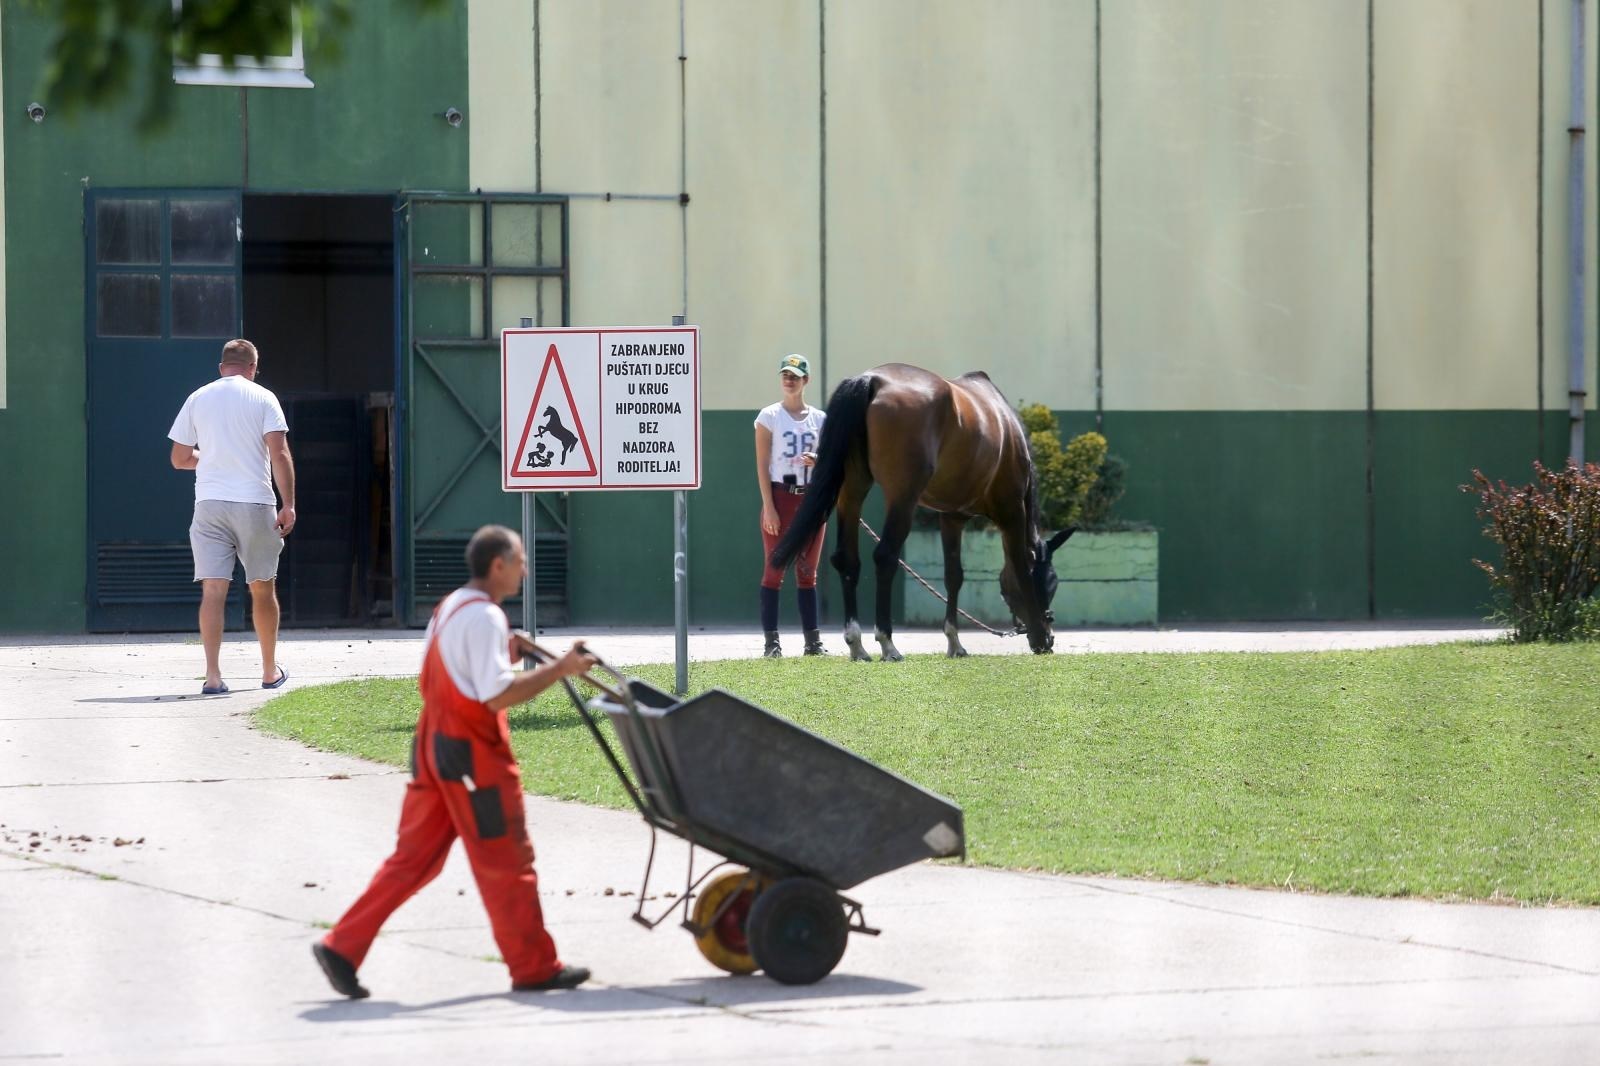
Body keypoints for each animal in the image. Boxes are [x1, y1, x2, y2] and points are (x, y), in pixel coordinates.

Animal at [768, 363, 1068, 656]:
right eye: (1050, 582)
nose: (1049, 636)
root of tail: (872, 380)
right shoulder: (1011, 511)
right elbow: (1020, 567)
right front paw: (1037, 633)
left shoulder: (952, 517)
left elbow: (953, 575)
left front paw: (954, 642)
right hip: (903, 498)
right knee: (885, 556)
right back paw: (887, 642)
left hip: (852, 490)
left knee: (846, 558)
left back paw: (857, 644)